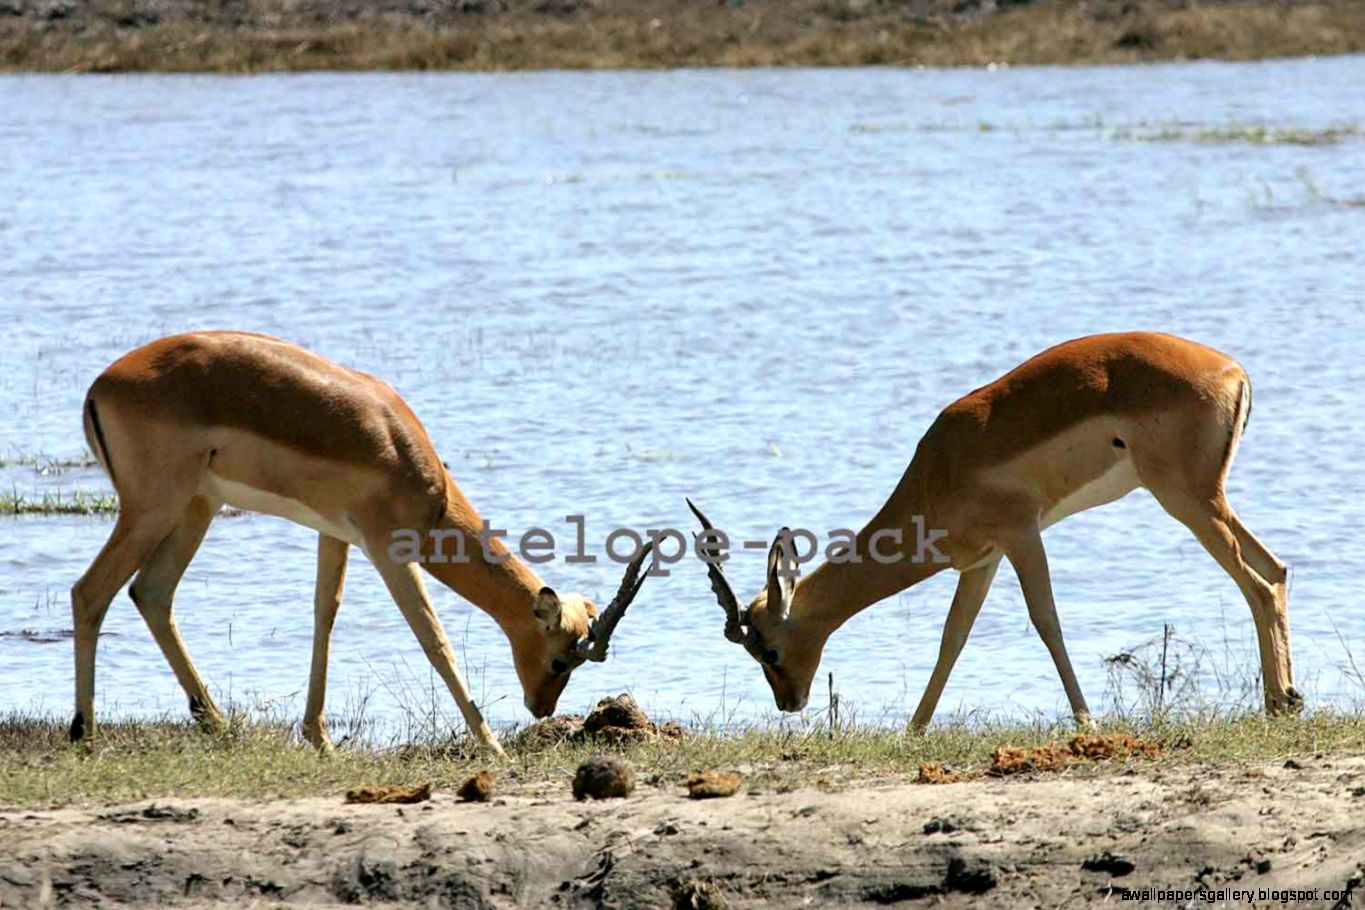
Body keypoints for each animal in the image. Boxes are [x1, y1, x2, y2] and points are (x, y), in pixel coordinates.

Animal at [71, 331, 654, 754]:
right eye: (560, 661)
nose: (541, 709)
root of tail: (101, 385)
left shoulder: (335, 533)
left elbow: (324, 615)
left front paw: (320, 738)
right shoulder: (386, 545)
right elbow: (434, 638)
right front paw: (492, 747)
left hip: (197, 506)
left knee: (151, 592)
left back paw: (213, 721)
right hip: (155, 508)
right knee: (90, 591)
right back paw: (86, 734)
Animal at [689, 332, 1300, 727]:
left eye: (767, 649)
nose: (788, 703)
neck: (937, 470)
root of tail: (1233, 370)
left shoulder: (1022, 535)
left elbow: (1046, 622)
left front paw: (1086, 722)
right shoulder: (981, 560)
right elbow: (952, 639)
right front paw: (914, 729)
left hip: (1185, 500)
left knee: (1256, 584)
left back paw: (1276, 702)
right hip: (1207, 500)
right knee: (1275, 569)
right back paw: (1289, 699)